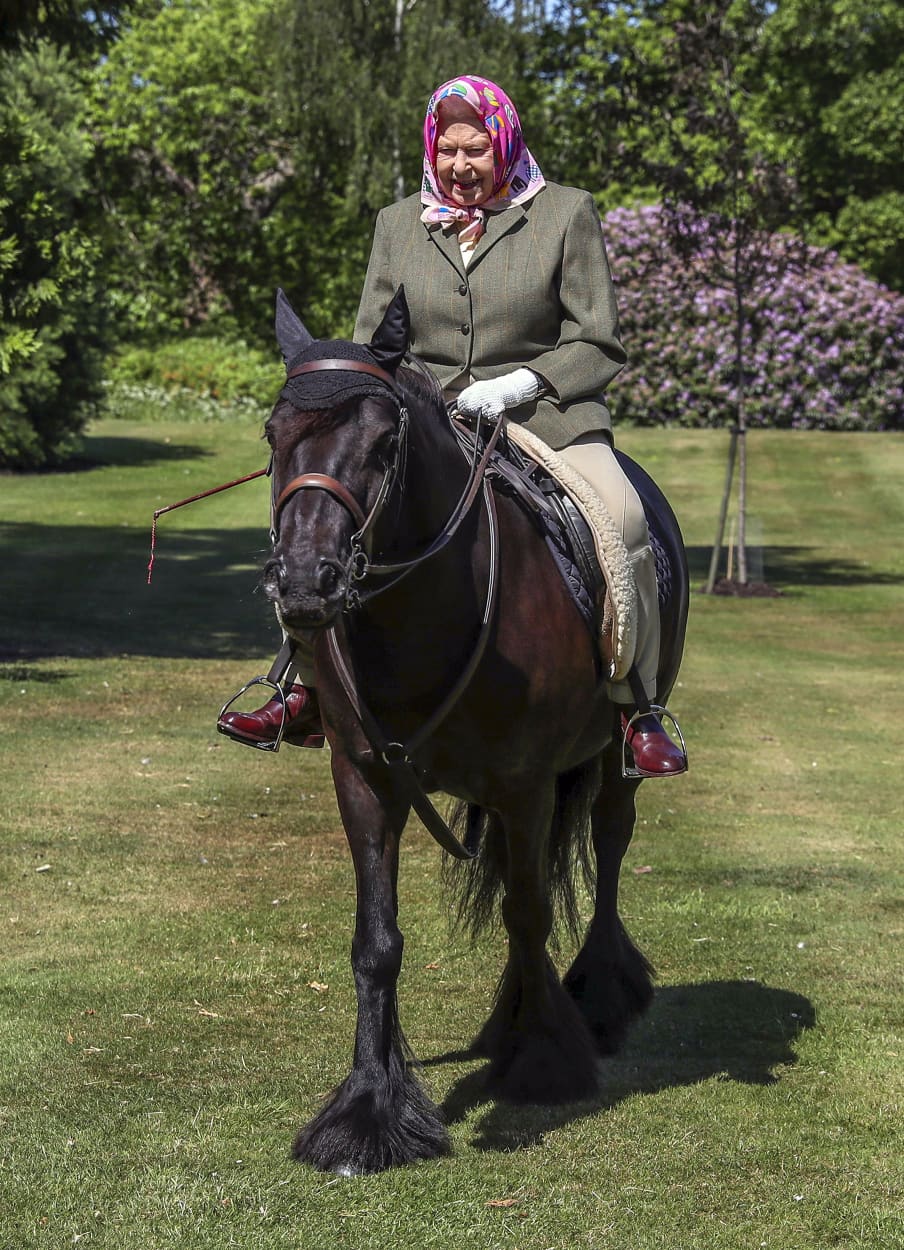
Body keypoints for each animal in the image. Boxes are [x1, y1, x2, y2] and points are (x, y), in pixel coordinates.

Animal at [262, 287, 689, 1174]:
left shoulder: (526, 784)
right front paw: (368, 1110)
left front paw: (544, 1060)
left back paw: (598, 997)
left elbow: (528, 914)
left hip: (615, 758)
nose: (306, 582)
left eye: (384, 442)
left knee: (608, 848)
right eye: (272, 435)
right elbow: (376, 941)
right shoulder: (364, 779)